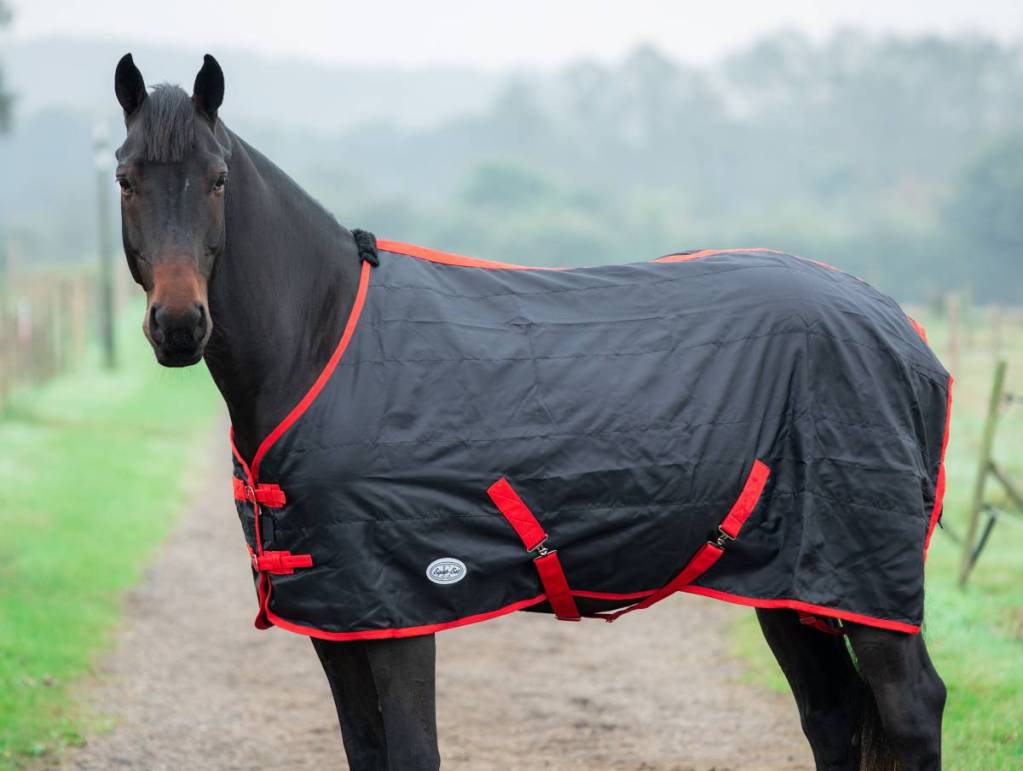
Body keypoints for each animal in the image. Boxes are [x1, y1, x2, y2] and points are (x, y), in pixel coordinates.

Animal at [112, 53, 948, 770]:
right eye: (124, 176)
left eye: (218, 178)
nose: (179, 325)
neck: (323, 341)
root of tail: (899, 326)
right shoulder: (337, 613)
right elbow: (365, 748)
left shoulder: (402, 606)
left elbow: (412, 751)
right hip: (787, 581)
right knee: (832, 715)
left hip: (863, 582)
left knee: (910, 707)